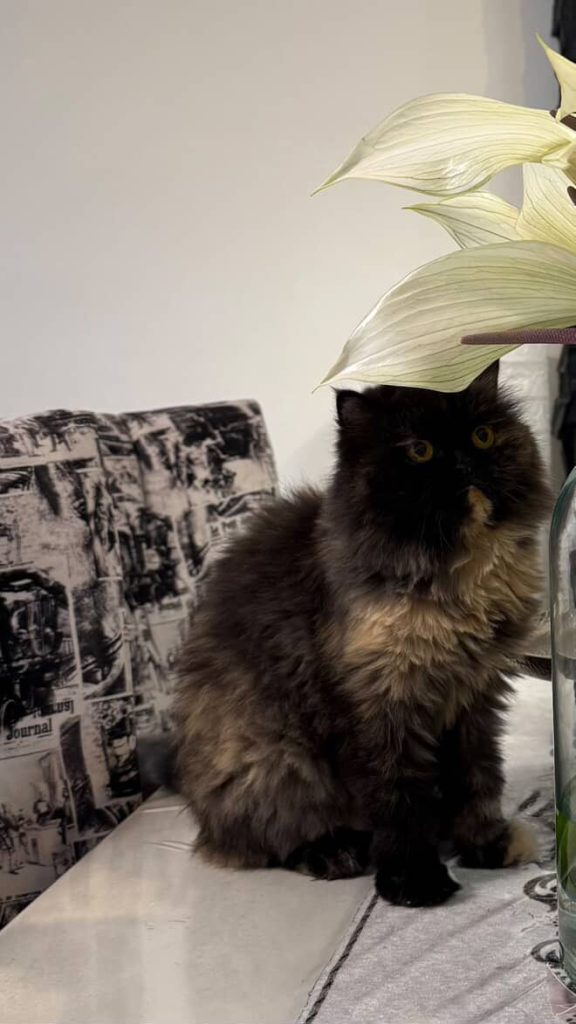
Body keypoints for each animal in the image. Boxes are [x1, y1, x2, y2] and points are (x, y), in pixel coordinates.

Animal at [171, 365, 551, 906]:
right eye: (420, 450)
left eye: (482, 436)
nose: (463, 464)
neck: (461, 581)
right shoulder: (379, 708)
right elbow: (400, 801)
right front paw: (415, 882)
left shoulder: (474, 700)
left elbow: (476, 779)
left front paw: (483, 845)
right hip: (272, 762)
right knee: (270, 841)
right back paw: (336, 854)